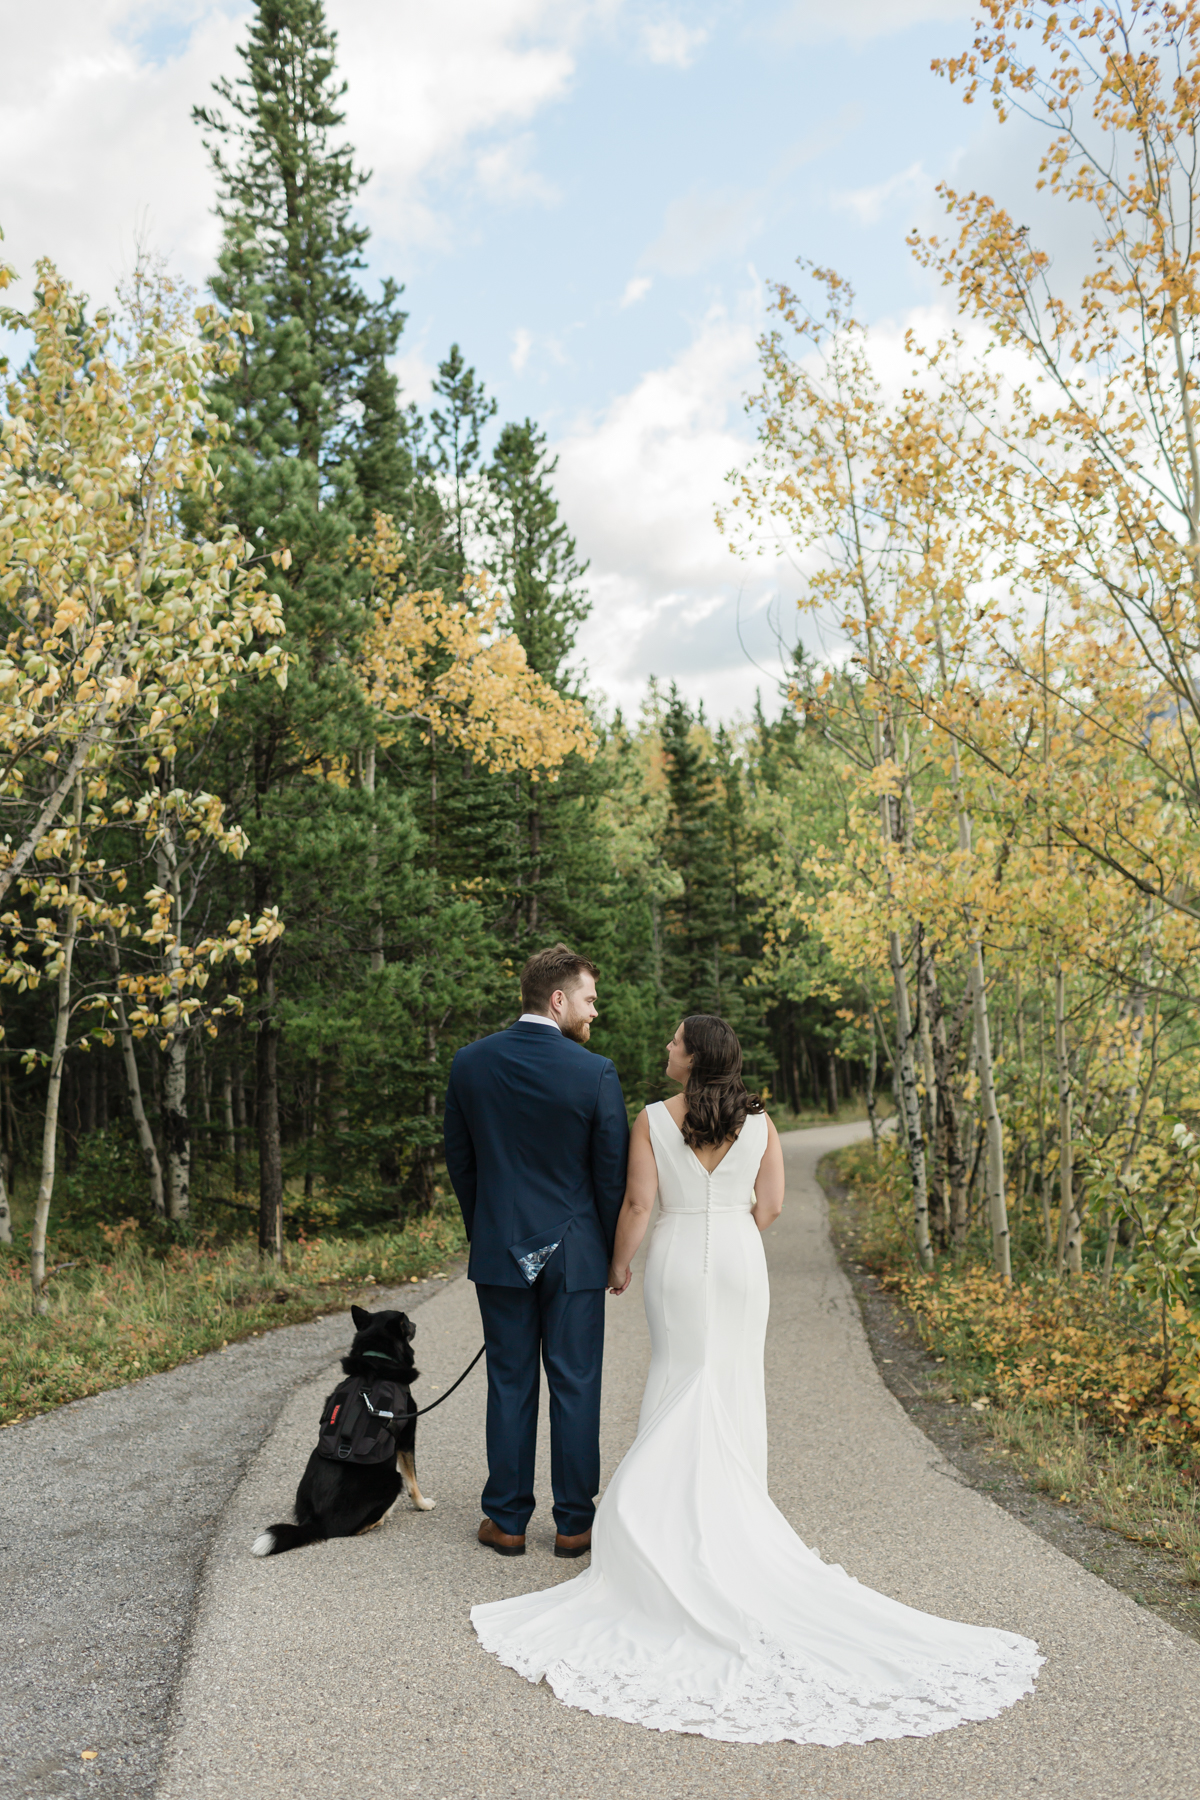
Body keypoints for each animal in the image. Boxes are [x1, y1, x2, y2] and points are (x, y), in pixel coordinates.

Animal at [251, 1303, 437, 1555]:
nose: (415, 1324)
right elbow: (413, 1479)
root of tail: (316, 1521)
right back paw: (383, 1516)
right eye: (407, 1322)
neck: (377, 1358)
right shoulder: (407, 1439)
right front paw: (423, 1504)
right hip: (392, 1479)